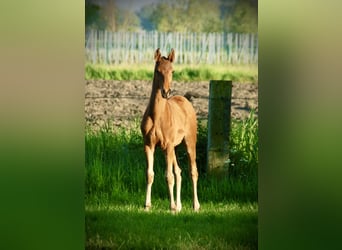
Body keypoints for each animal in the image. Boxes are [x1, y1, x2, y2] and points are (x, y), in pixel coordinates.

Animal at [141, 48, 200, 211]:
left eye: (172, 71)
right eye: (157, 71)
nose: (166, 92)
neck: (157, 116)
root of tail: (186, 100)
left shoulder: (167, 145)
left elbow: (169, 176)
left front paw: (172, 206)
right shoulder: (149, 145)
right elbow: (150, 174)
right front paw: (147, 205)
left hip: (189, 142)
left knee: (193, 171)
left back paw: (195, 205)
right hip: (174, 147)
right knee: (179, 172)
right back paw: (180, 206)